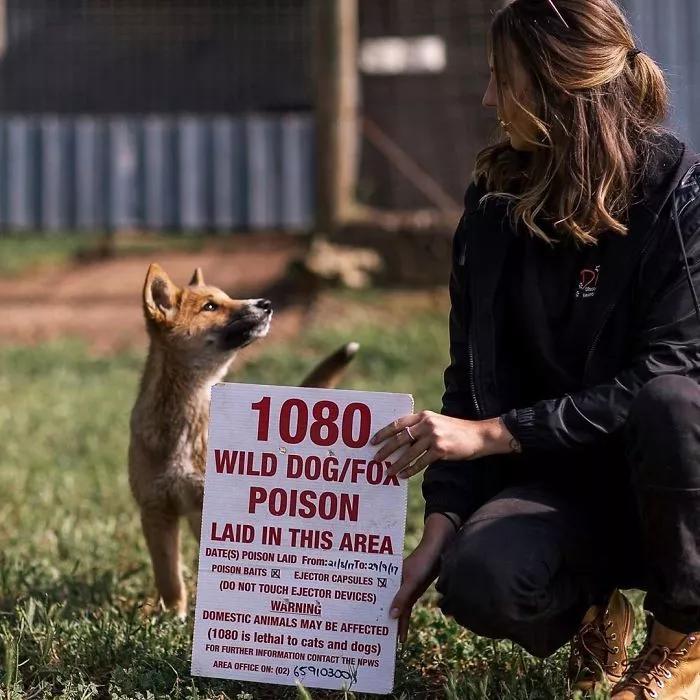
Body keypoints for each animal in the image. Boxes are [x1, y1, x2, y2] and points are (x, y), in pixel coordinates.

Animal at [127, 264, 356, 616]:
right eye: (210, 306)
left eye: (227, 297)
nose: (266, 303)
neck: (184, 430)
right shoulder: (157, 511)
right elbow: (170, 579)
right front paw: (174, 616)